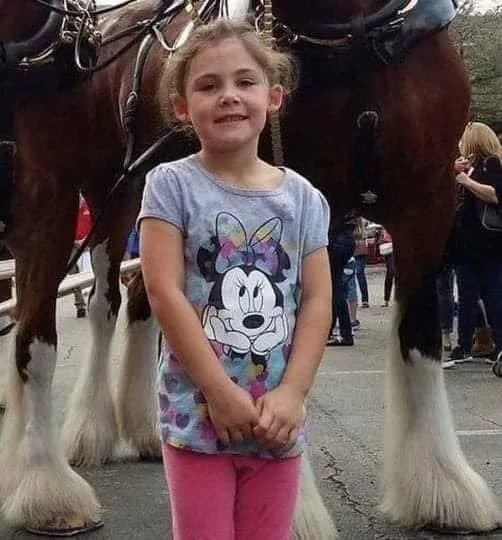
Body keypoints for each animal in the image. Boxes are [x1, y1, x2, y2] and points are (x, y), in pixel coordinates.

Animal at [0, 0, 500, 536]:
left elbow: (421, 340)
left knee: (141, 302)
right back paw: (91, 431)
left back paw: (146, 430)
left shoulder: (429, 205)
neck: (354, 38)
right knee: (104, 304)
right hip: (111, 197)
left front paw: (443, 487)